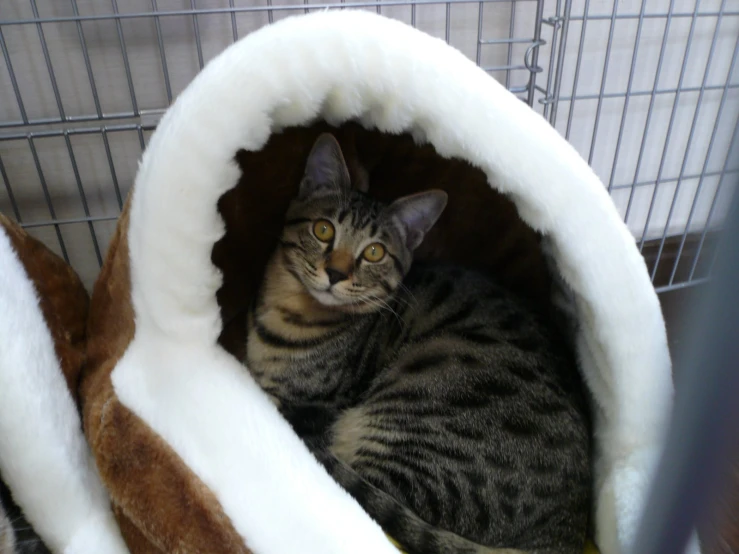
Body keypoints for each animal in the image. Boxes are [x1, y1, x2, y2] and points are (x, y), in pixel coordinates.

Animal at [246, 133, 592, 552]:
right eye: (323, 230)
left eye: (374, 252)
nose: (336, 273)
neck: (290, 310)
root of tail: (566, 531)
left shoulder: (315, 405)